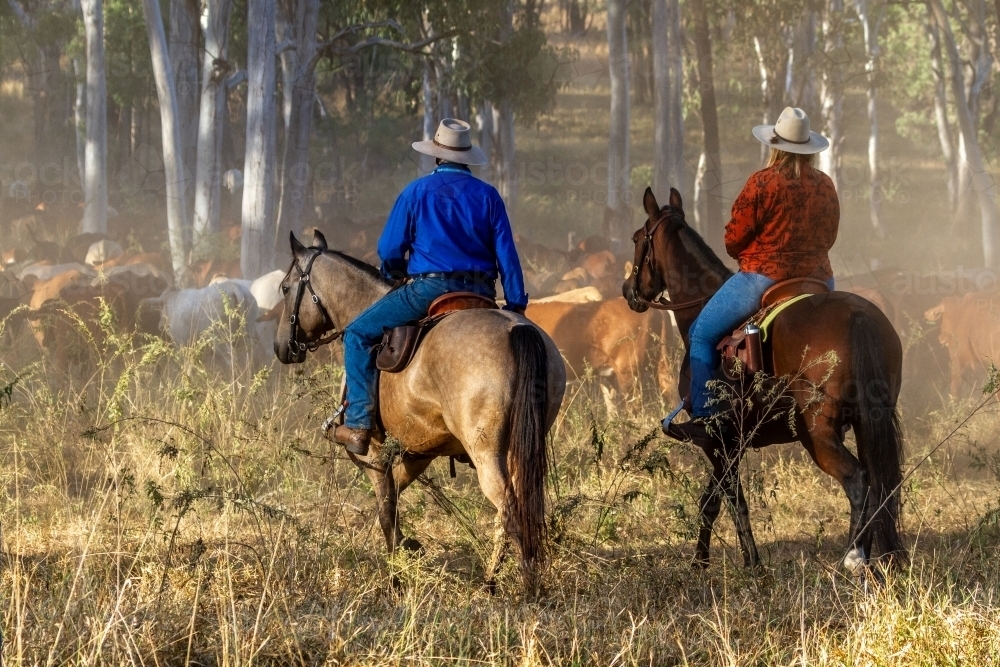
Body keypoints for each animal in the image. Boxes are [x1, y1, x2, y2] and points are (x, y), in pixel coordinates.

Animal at [274, 232, 568, 588]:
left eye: (286, 287)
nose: (281, 347)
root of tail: (516, 331)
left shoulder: (375, 455)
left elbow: (386, 508)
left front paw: (397, 573)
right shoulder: (419, 451)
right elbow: (394, 501)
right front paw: (409, 548)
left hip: (488, 454)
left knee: (510, 512)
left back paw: (521, 585)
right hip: (520, 450)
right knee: (521, 510)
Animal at [620, 189, 904, 576]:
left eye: (637, 238)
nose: (628, 291)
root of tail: (858, 315)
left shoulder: (717, 440)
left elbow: (731, 500)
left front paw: (749, 563)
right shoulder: (732, 442)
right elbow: (712, 500)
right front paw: (702, 561)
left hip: (817, 434)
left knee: (858, 480)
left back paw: (852, 557)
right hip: (868, 423)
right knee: (879, 484)